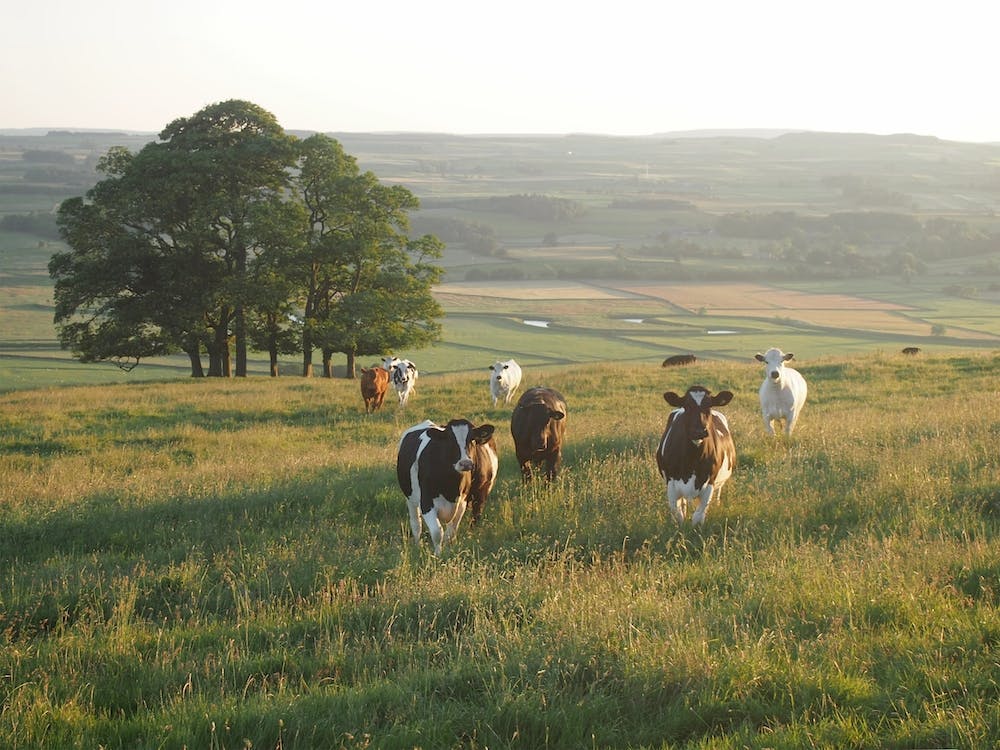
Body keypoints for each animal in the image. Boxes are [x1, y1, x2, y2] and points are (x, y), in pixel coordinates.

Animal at [397, 418, 497, 554]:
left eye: (472, 439)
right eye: (450, 440)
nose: (465, 463)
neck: (451, 487)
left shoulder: (462, 503)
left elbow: (451, 532)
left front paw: (449, 550)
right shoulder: (426, 503)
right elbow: (437, 532)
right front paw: (437, 554)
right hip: (410, 499)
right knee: (416, 524)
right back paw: (417, 546)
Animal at [655, 385, 736, 526]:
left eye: (709, 405)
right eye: (687, 406)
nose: (699, 431)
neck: (692, 460)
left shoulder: (710, 483)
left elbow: (698, 516)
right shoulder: (671, 484)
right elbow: (678, 515)